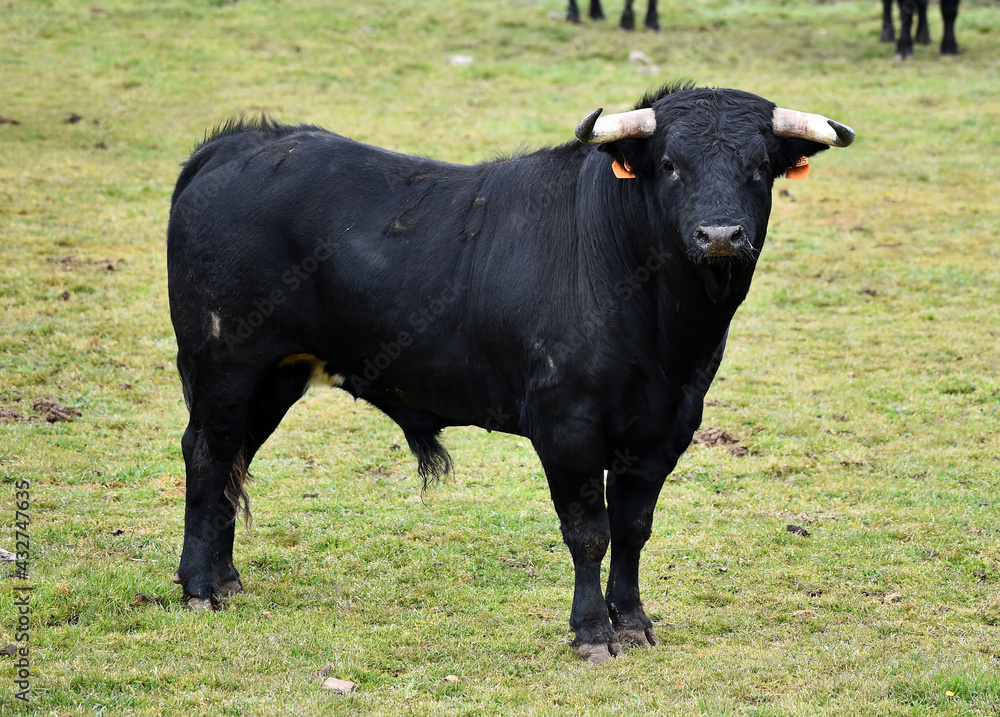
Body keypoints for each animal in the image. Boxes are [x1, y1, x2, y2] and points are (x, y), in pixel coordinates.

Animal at [168, 86, 856, 664]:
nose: (719, 235)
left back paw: (226, 579)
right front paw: (592, 633)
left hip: (275, 377)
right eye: (670, 164)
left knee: (233, 460)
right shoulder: (567, 427)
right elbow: (589, 532)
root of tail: (242, 143)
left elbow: (633, 529)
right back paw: (200, 586)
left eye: (758, 167)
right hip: (225, 364)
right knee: (207, 453)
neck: (665, 329)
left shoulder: (664, 430)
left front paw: (634, 623)